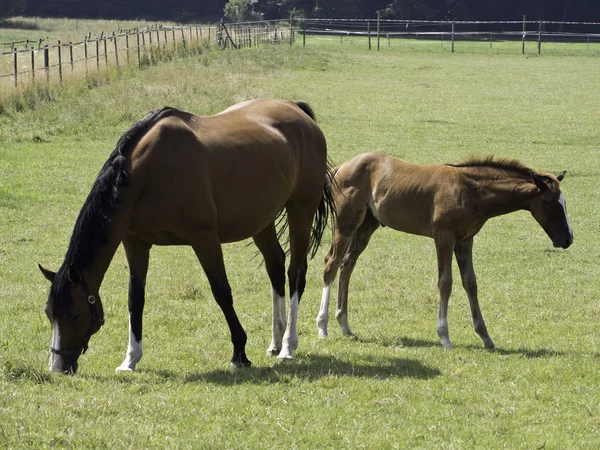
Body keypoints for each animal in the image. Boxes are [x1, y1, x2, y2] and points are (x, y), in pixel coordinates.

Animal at [39, 100, 336, 374]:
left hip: (301, 211)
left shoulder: (204, 239)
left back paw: (288, 345)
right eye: (49, 314)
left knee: (295, 273)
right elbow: (135, 299)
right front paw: (130, 359)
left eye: (76, 314)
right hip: (262, 221)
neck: (151, 172)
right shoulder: (135, 243)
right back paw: (275, 341)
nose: (58, 367)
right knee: (275, 265)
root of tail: (297, 110)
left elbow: (222, 292)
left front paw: (239, 352)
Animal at [316, 154, 576, 348]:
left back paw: (344, 325)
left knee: (347, 264)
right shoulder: (444, 238)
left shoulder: (465, 241)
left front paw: (485, 336)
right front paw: (444, 335)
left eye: (564, 203)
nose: (567, 239)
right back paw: (323, 326)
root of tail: (341, 167)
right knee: (331, 264)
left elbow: (470, 282)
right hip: (346, 224)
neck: (471, 190)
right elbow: (445, 282)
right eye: (551, 203)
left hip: (366, 226)